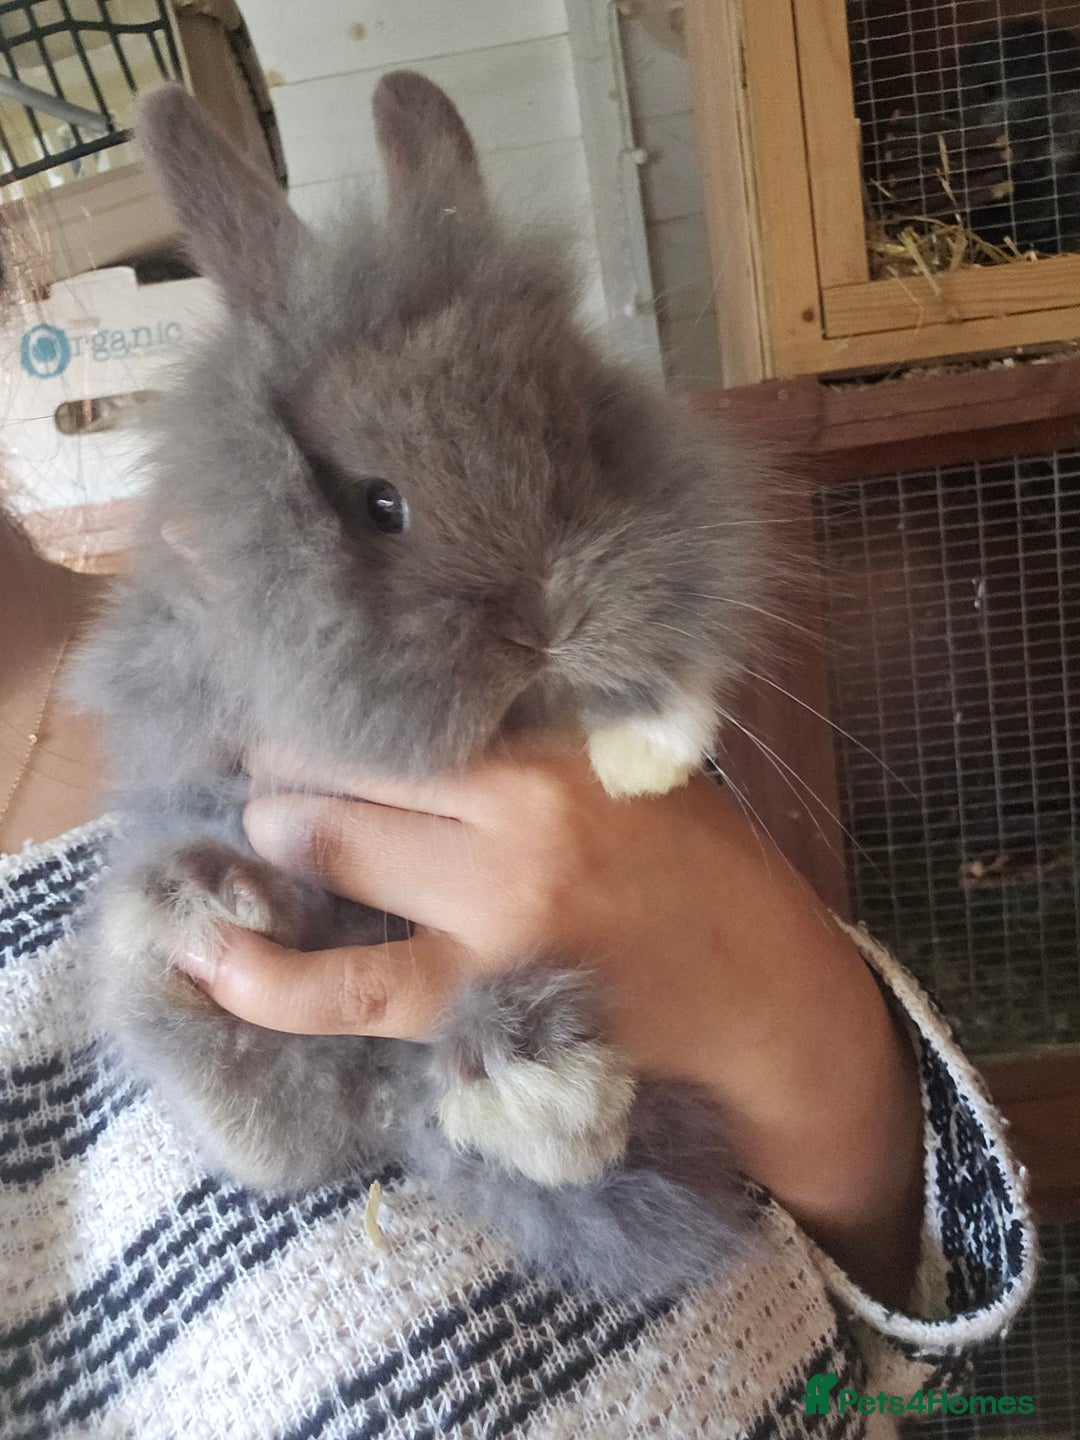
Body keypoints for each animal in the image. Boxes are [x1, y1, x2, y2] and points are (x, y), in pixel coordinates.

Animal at [72, 74, 783, 1299]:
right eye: (379, 505)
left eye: (576, 444)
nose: (547, 625)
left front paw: (650, 748)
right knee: (281, 1118)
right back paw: (200, 912)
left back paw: (533, 1086)